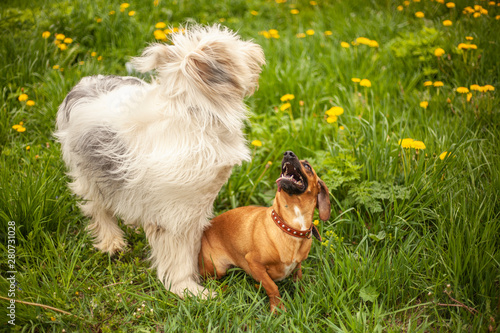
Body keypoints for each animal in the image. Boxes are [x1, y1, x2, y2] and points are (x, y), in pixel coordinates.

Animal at [54, 25, 266, 296]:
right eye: (235, 44)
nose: (256, 48)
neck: (194, 115)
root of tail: (85, 83)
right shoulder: (176, 214)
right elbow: (179, 256)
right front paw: (188, 289)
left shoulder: (196, 204)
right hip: (89, 173)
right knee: (97, 208)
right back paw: (111, 241)